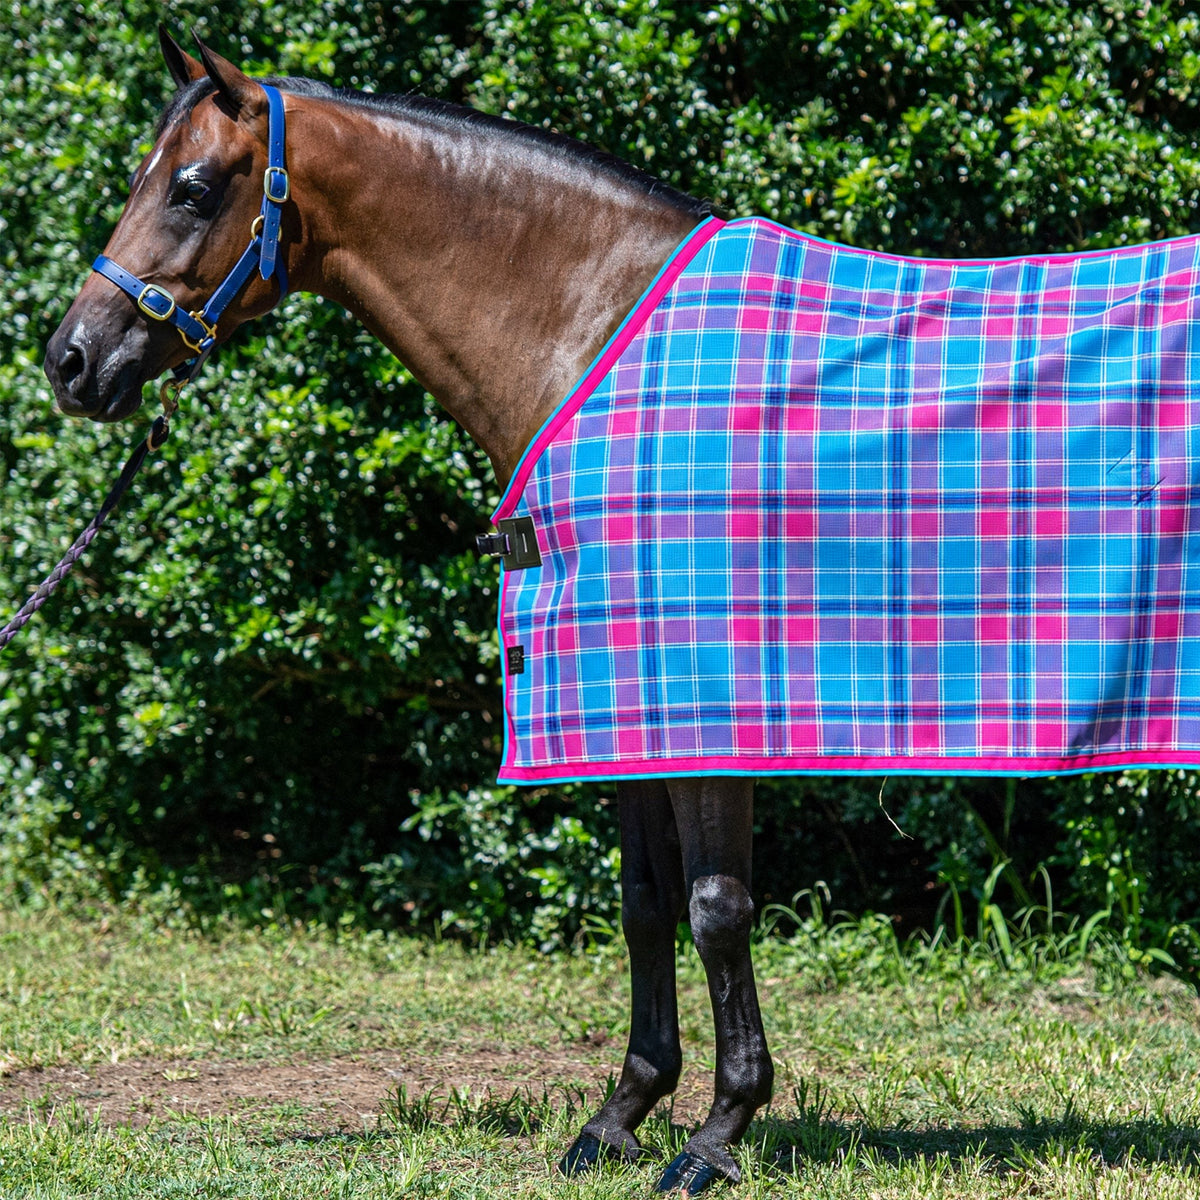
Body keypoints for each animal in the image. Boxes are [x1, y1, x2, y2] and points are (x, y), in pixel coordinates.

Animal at [44, 30, 770, 1195]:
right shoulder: (619, 693)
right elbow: (646, 897)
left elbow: (716, 907)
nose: (69, 360)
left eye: (191, 188)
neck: (604, 341)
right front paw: (621, 1116)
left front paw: (715, 1135)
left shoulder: (710, 698)